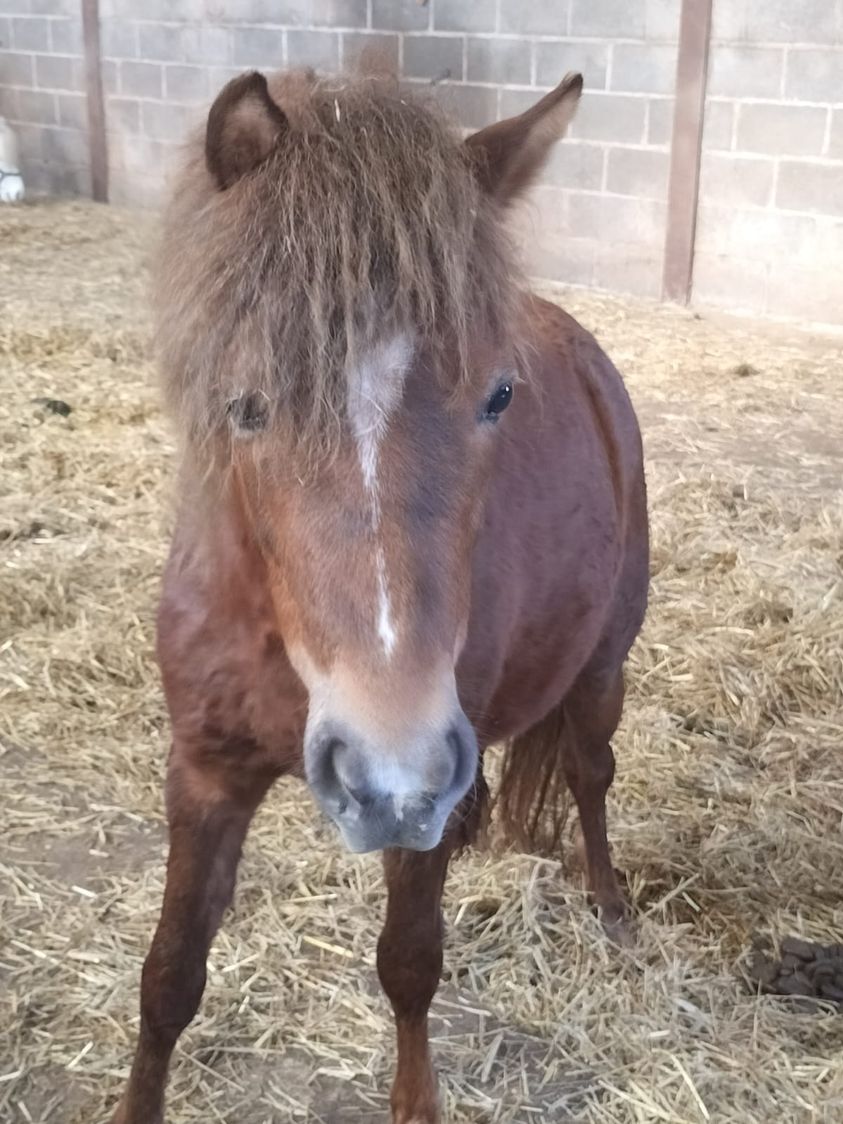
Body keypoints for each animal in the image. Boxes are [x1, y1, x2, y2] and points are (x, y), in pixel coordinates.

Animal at [112, 65, 651, 1119]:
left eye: (498, 396)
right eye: (245, 404)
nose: (386, 761)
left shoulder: (422, 796)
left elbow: (407, 964)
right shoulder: (203, 772)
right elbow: (167, 978)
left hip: (600, 671)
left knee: (588, 774)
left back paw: (608, 906)